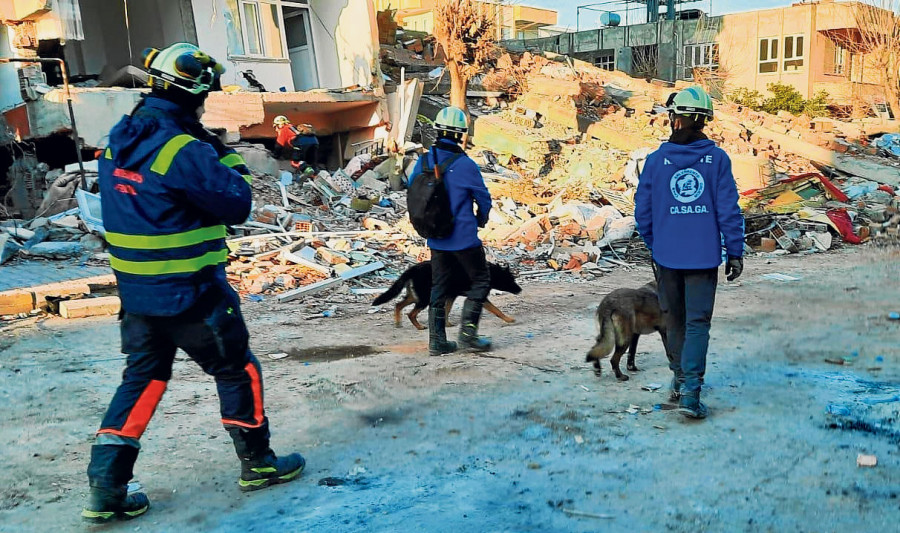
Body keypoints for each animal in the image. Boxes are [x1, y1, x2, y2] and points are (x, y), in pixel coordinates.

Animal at [372, 260, 524, 330]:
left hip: (416, 296)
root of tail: (412, 268)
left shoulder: (451, 295)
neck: (491, 273)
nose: (520, 290)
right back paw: (419, 326)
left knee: (398, 305)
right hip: (424, 298)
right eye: (511, 280)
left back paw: (398, 322)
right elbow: (497, 310)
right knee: (411, 313)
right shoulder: (479, 298)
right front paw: (508, 319)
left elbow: (447, 310)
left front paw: (446, 323)